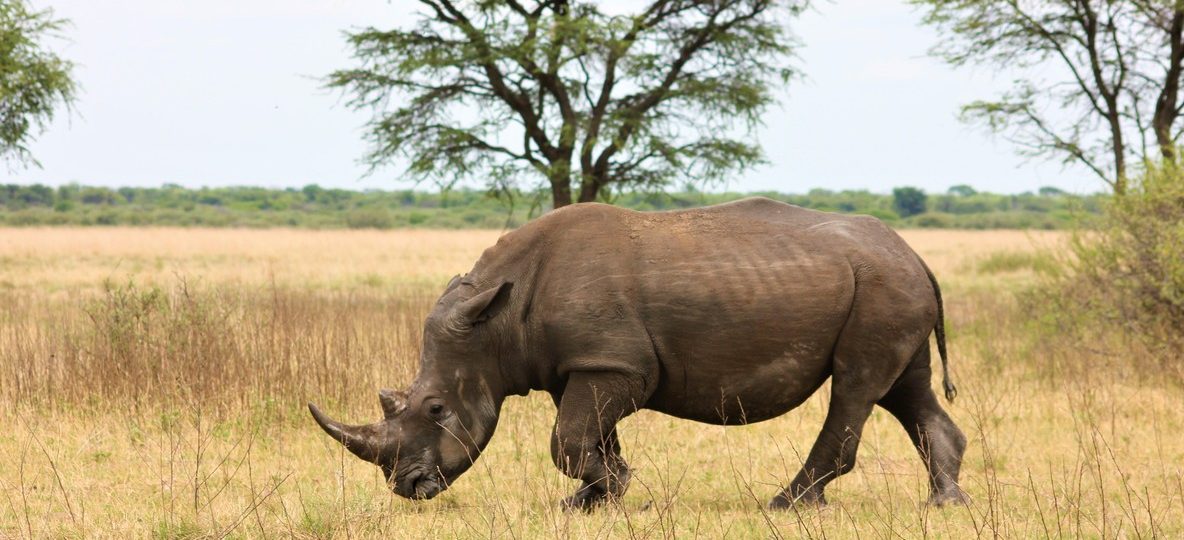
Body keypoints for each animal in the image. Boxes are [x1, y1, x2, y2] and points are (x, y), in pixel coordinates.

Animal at [309, 197, 968, 509]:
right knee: (904, 388)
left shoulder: (614, 363)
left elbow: (569, 440)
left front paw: (618, 490)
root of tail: (916, 254)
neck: (495, 323)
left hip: (881, 286)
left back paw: (787, 505)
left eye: (437, 410)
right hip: (889, 285)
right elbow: (589, 437)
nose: (408, 487)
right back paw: (945, 503)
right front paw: (592, 500)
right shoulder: (586, 364)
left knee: (856, 385)